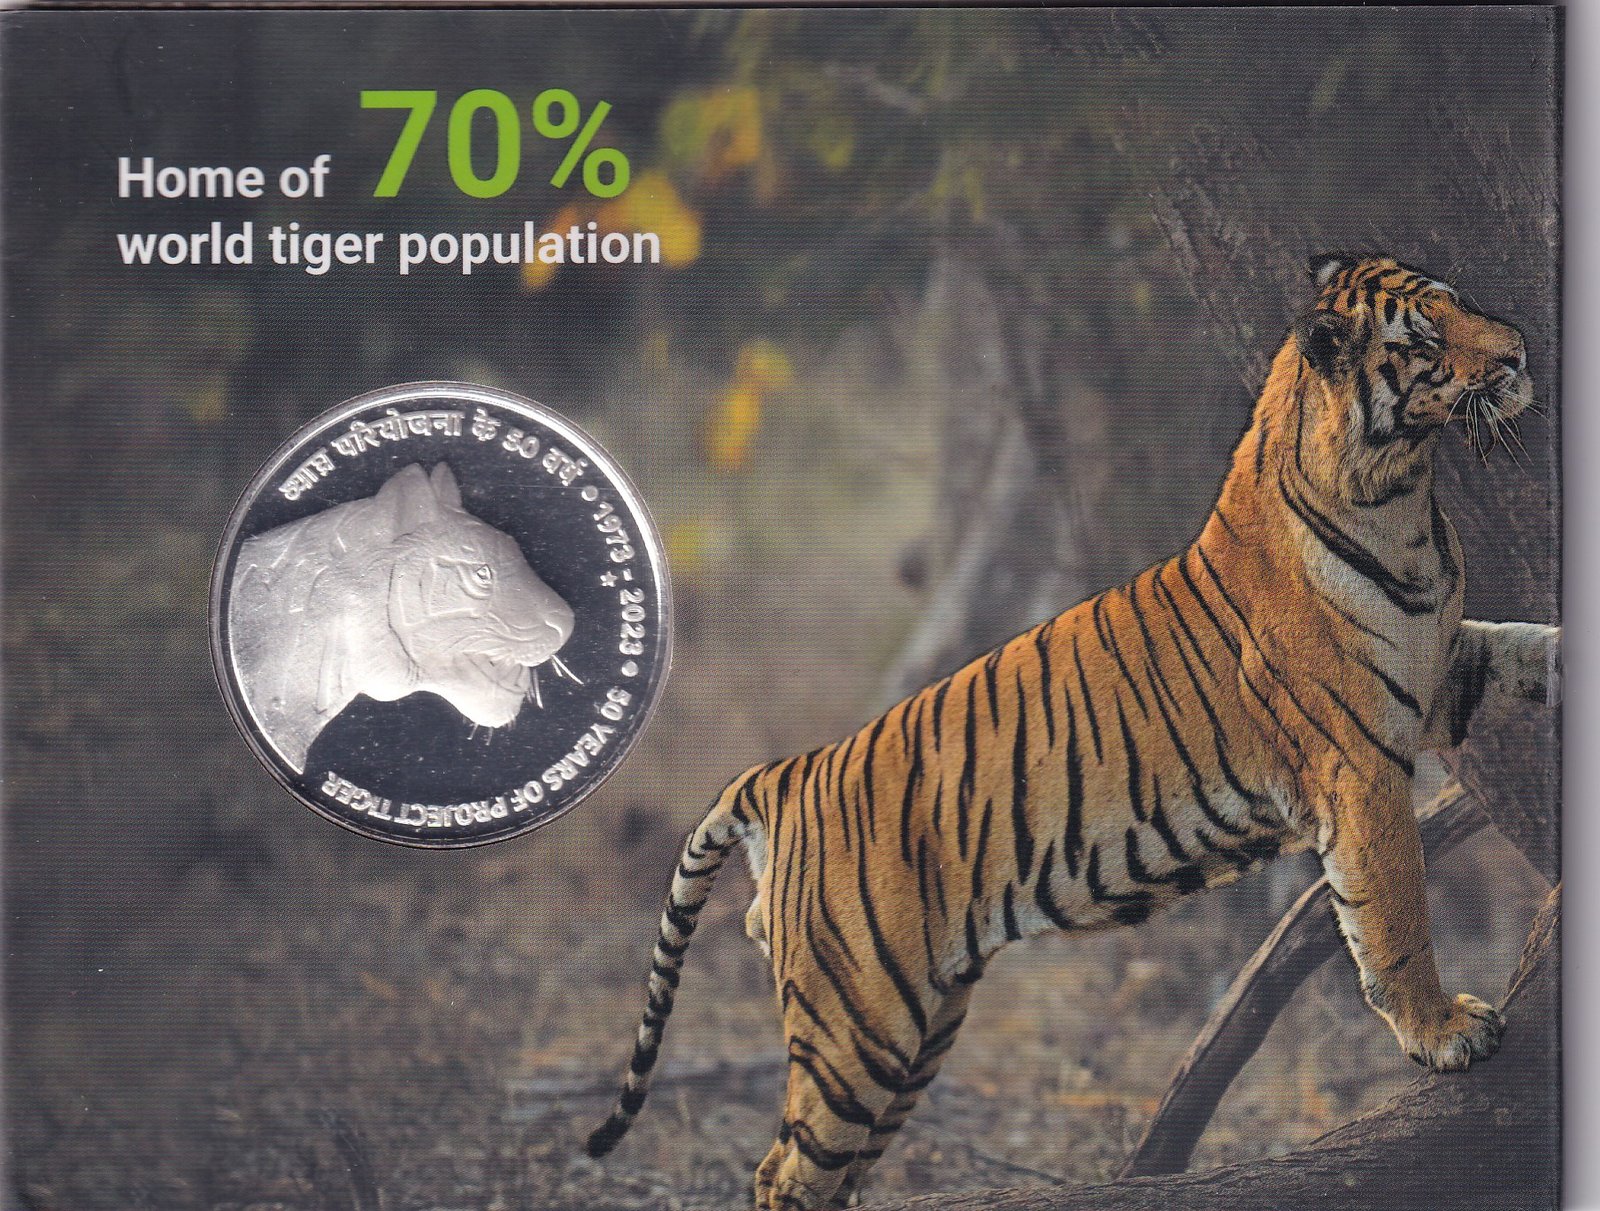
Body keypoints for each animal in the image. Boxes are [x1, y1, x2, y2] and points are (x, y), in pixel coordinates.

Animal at [586, 255, 1560, 1209]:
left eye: (1462, 301)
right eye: (1426, 338)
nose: (1518, 352)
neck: (1405, 500)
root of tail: (786, 773)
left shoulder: (1442, 674)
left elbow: (1531, 644)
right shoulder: (1359, 762)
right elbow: (1394, 915)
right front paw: (1445, 1032)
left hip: (919, 1032)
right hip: (858, 1027)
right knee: (785, 1170)